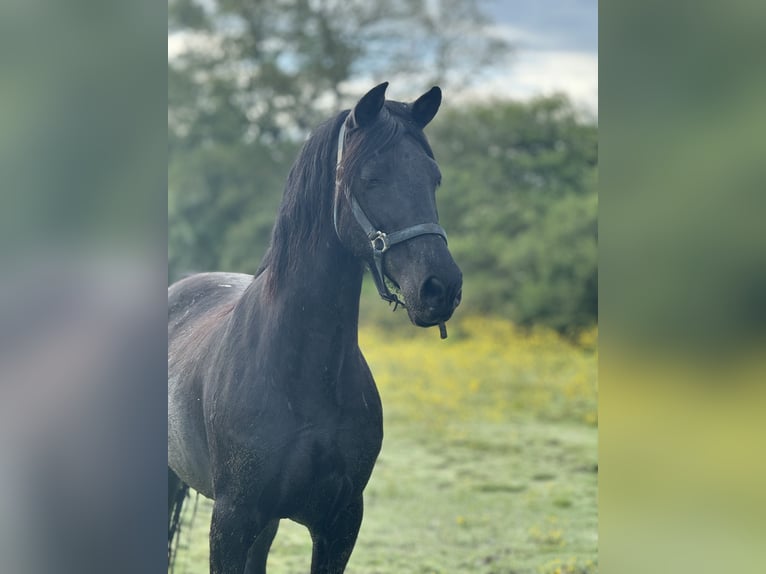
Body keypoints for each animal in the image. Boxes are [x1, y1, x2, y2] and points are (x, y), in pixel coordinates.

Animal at [170, 82, 462, 574]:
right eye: (370, 177)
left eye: (433, 177)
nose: (441, 287)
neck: (304, 372)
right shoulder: (230, 520)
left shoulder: (339, 522)